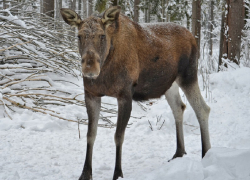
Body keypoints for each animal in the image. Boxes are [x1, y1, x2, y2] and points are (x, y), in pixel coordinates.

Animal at [60, 5, 211, 180]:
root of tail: (193, 37)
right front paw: (85, 173)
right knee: (179, 108)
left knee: (202, 109)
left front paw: (118, 173)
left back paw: (206, 153)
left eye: (102, 35)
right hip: (170, 84)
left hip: (188, 76)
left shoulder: (125, 95)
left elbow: (118, 136)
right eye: (79, 36)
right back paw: (179, 152)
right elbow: (91, 134)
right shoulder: (91, 94)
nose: (90, 69)